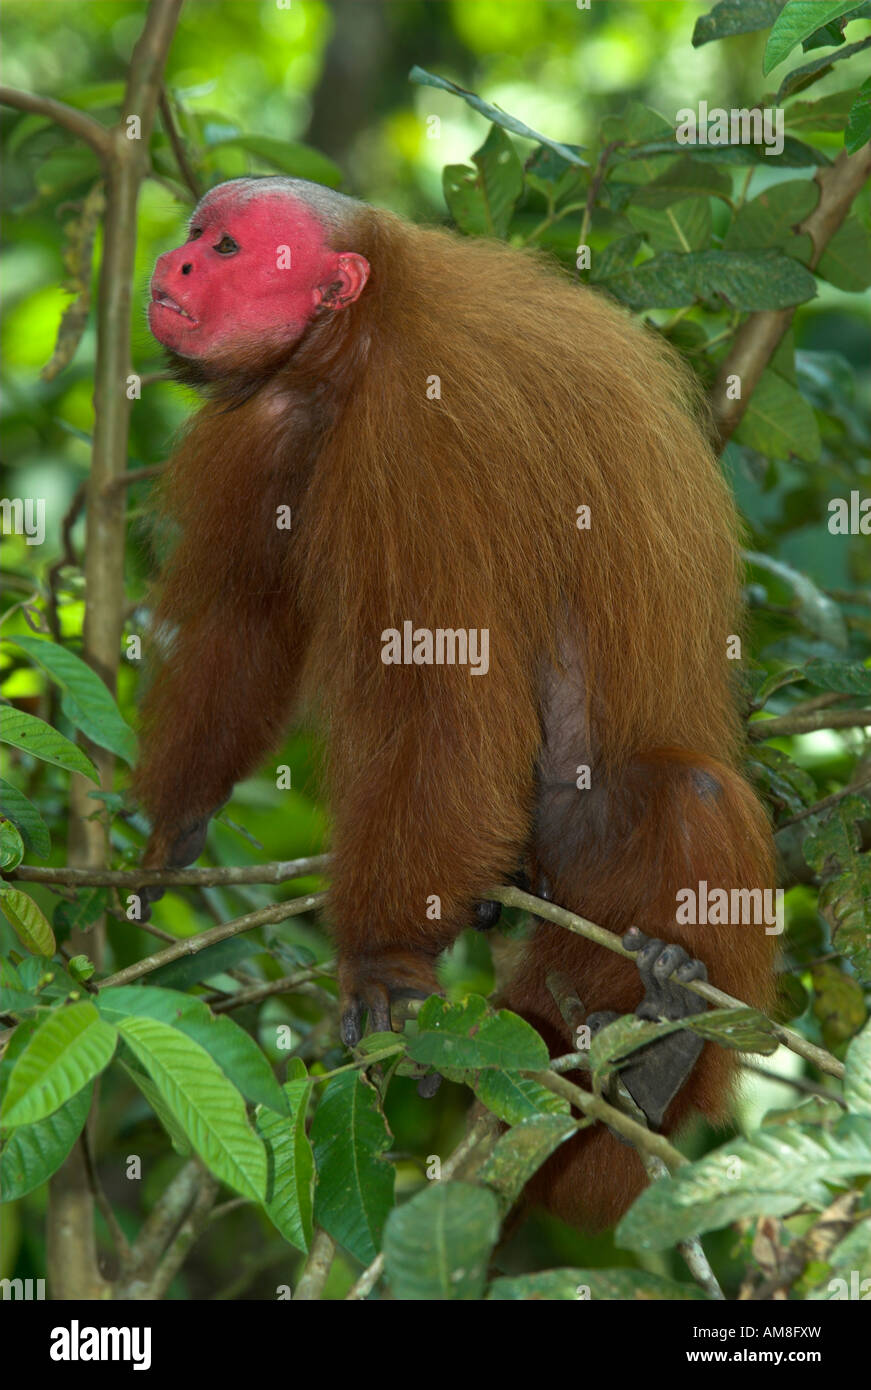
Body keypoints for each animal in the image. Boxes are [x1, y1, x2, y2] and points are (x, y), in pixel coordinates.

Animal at [134, 175, 776, 1231]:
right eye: (195, 236)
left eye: (225, 247)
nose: (170, 264)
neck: (345, 352)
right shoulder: (268, 421)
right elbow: (247, 621)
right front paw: (177, 820)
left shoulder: (420, 432)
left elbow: (445, 704)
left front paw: (385, 955)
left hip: (587, 848)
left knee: (694, 798)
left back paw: (662, 1061)